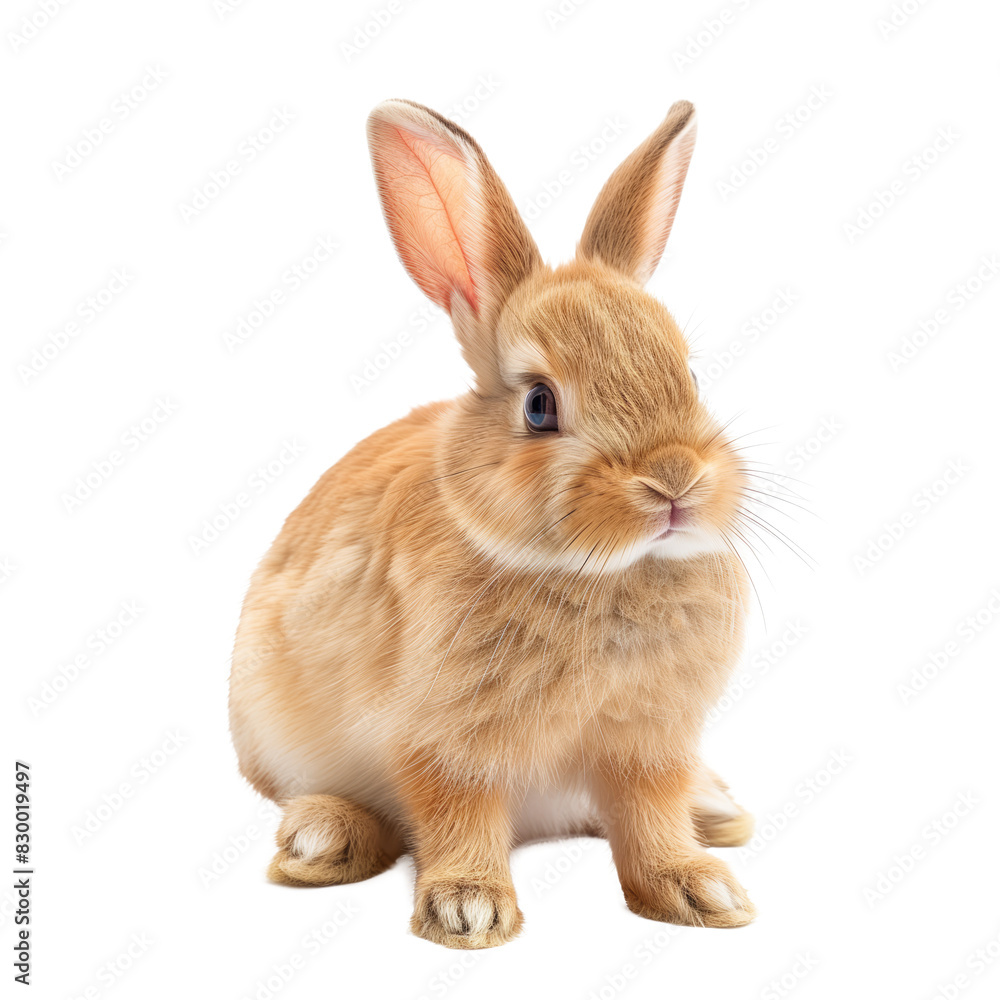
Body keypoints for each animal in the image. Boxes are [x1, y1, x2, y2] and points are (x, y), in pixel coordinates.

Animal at [229, 97, 759, 950]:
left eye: (688, 373)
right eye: (540, 405)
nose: (674, 481)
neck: (598, 572)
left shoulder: (647, 746)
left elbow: (649, 817)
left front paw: (700, 891)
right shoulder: (445, 743)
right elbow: (459, 811)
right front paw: (468, 910)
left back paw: (716, 812)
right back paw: (321, 839)